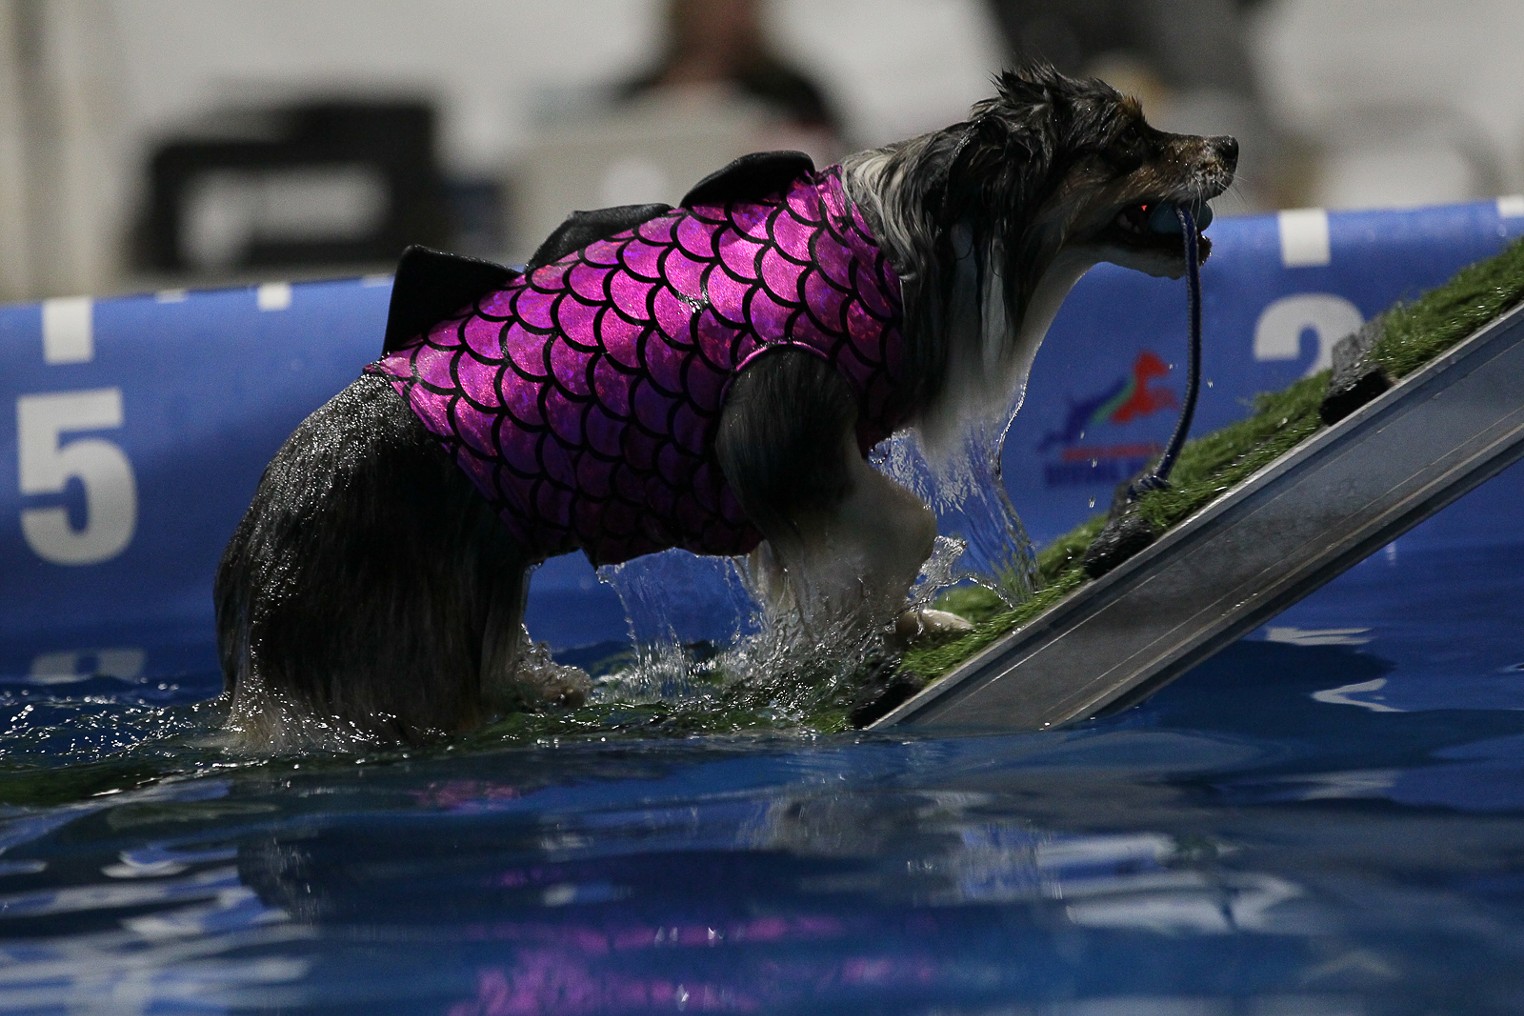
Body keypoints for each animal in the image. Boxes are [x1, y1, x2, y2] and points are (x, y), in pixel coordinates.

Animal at [217, 65, 1237, 746]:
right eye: (1129, 142)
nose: (1229, 145)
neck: (916, 244)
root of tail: (254, 563)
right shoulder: (779, 426)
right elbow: (903, 524)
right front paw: (857, 626)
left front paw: (901, 623)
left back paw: (546, 684)